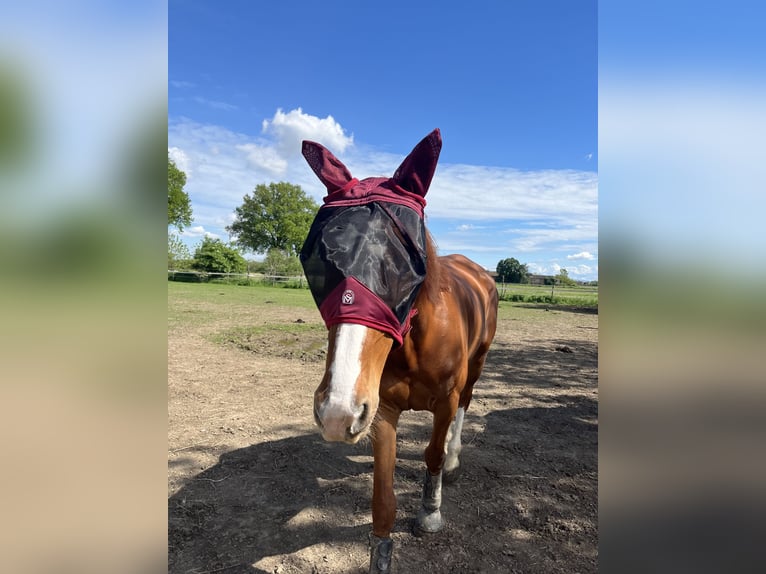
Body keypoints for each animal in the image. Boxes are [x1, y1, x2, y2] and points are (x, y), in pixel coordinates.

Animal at [299, 128, 498, 573]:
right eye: (320, 260)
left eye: (404, 262)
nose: (336, 411)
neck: (414, 346)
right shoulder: (381, 412)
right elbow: (382, 501)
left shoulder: (444, 402)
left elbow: (433, 455)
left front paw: (430, 512)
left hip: (477, 366)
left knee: (465, 409)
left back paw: (455, 460)